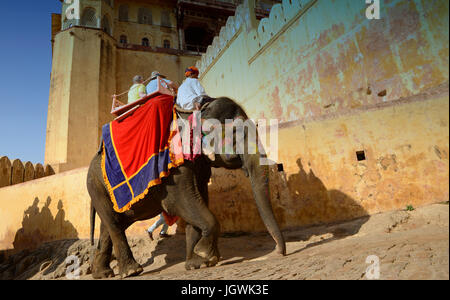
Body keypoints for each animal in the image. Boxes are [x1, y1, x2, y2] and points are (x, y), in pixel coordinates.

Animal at [87, 97, 284, 280]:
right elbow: (180, 202)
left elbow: (199, 198)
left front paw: (197, 263)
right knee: (113, 223)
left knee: (110, 225)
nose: (278, 252)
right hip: (96, 186)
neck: (197, 112)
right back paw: (132, 271)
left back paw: (102, 273)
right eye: (236, 133)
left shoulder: (199, 164)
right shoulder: (174, 166)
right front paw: (206, 255)